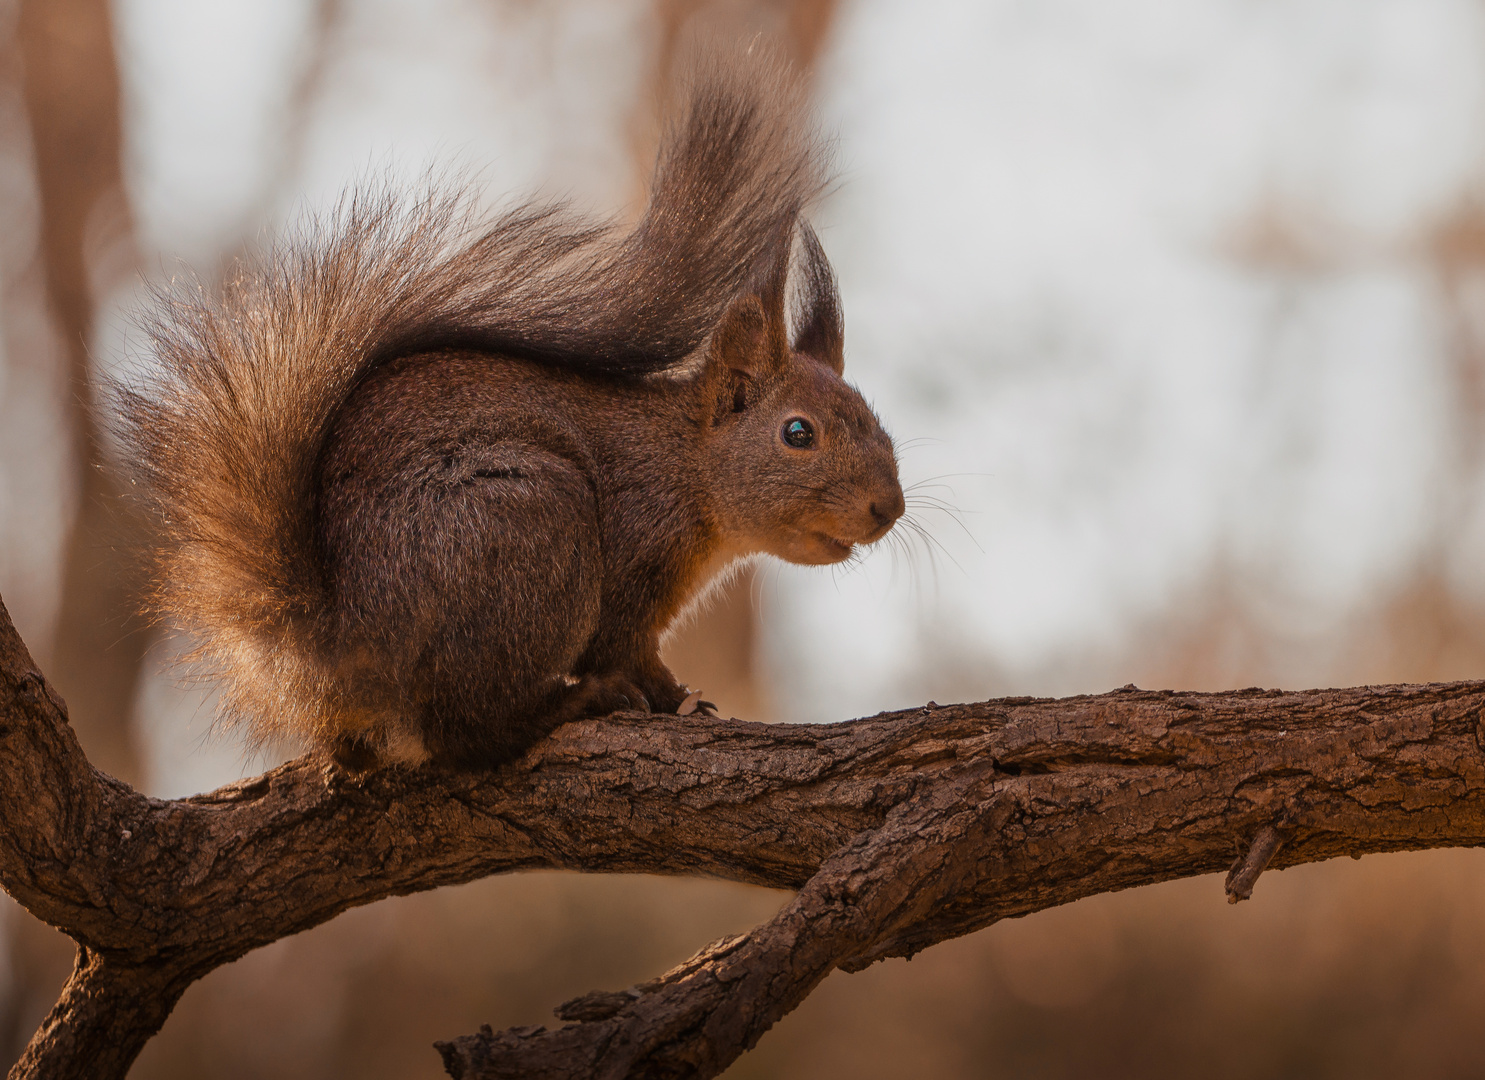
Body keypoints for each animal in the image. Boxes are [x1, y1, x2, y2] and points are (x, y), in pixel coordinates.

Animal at [112, 44, 902, 766]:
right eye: (797, 433)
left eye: (880, 425)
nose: (887, 509)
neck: (685, 467)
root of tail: (339, 644)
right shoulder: (630, 571)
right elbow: (627, 651)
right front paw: (676, 698)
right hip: (530, 526)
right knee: (467, 732)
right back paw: (569, 706)